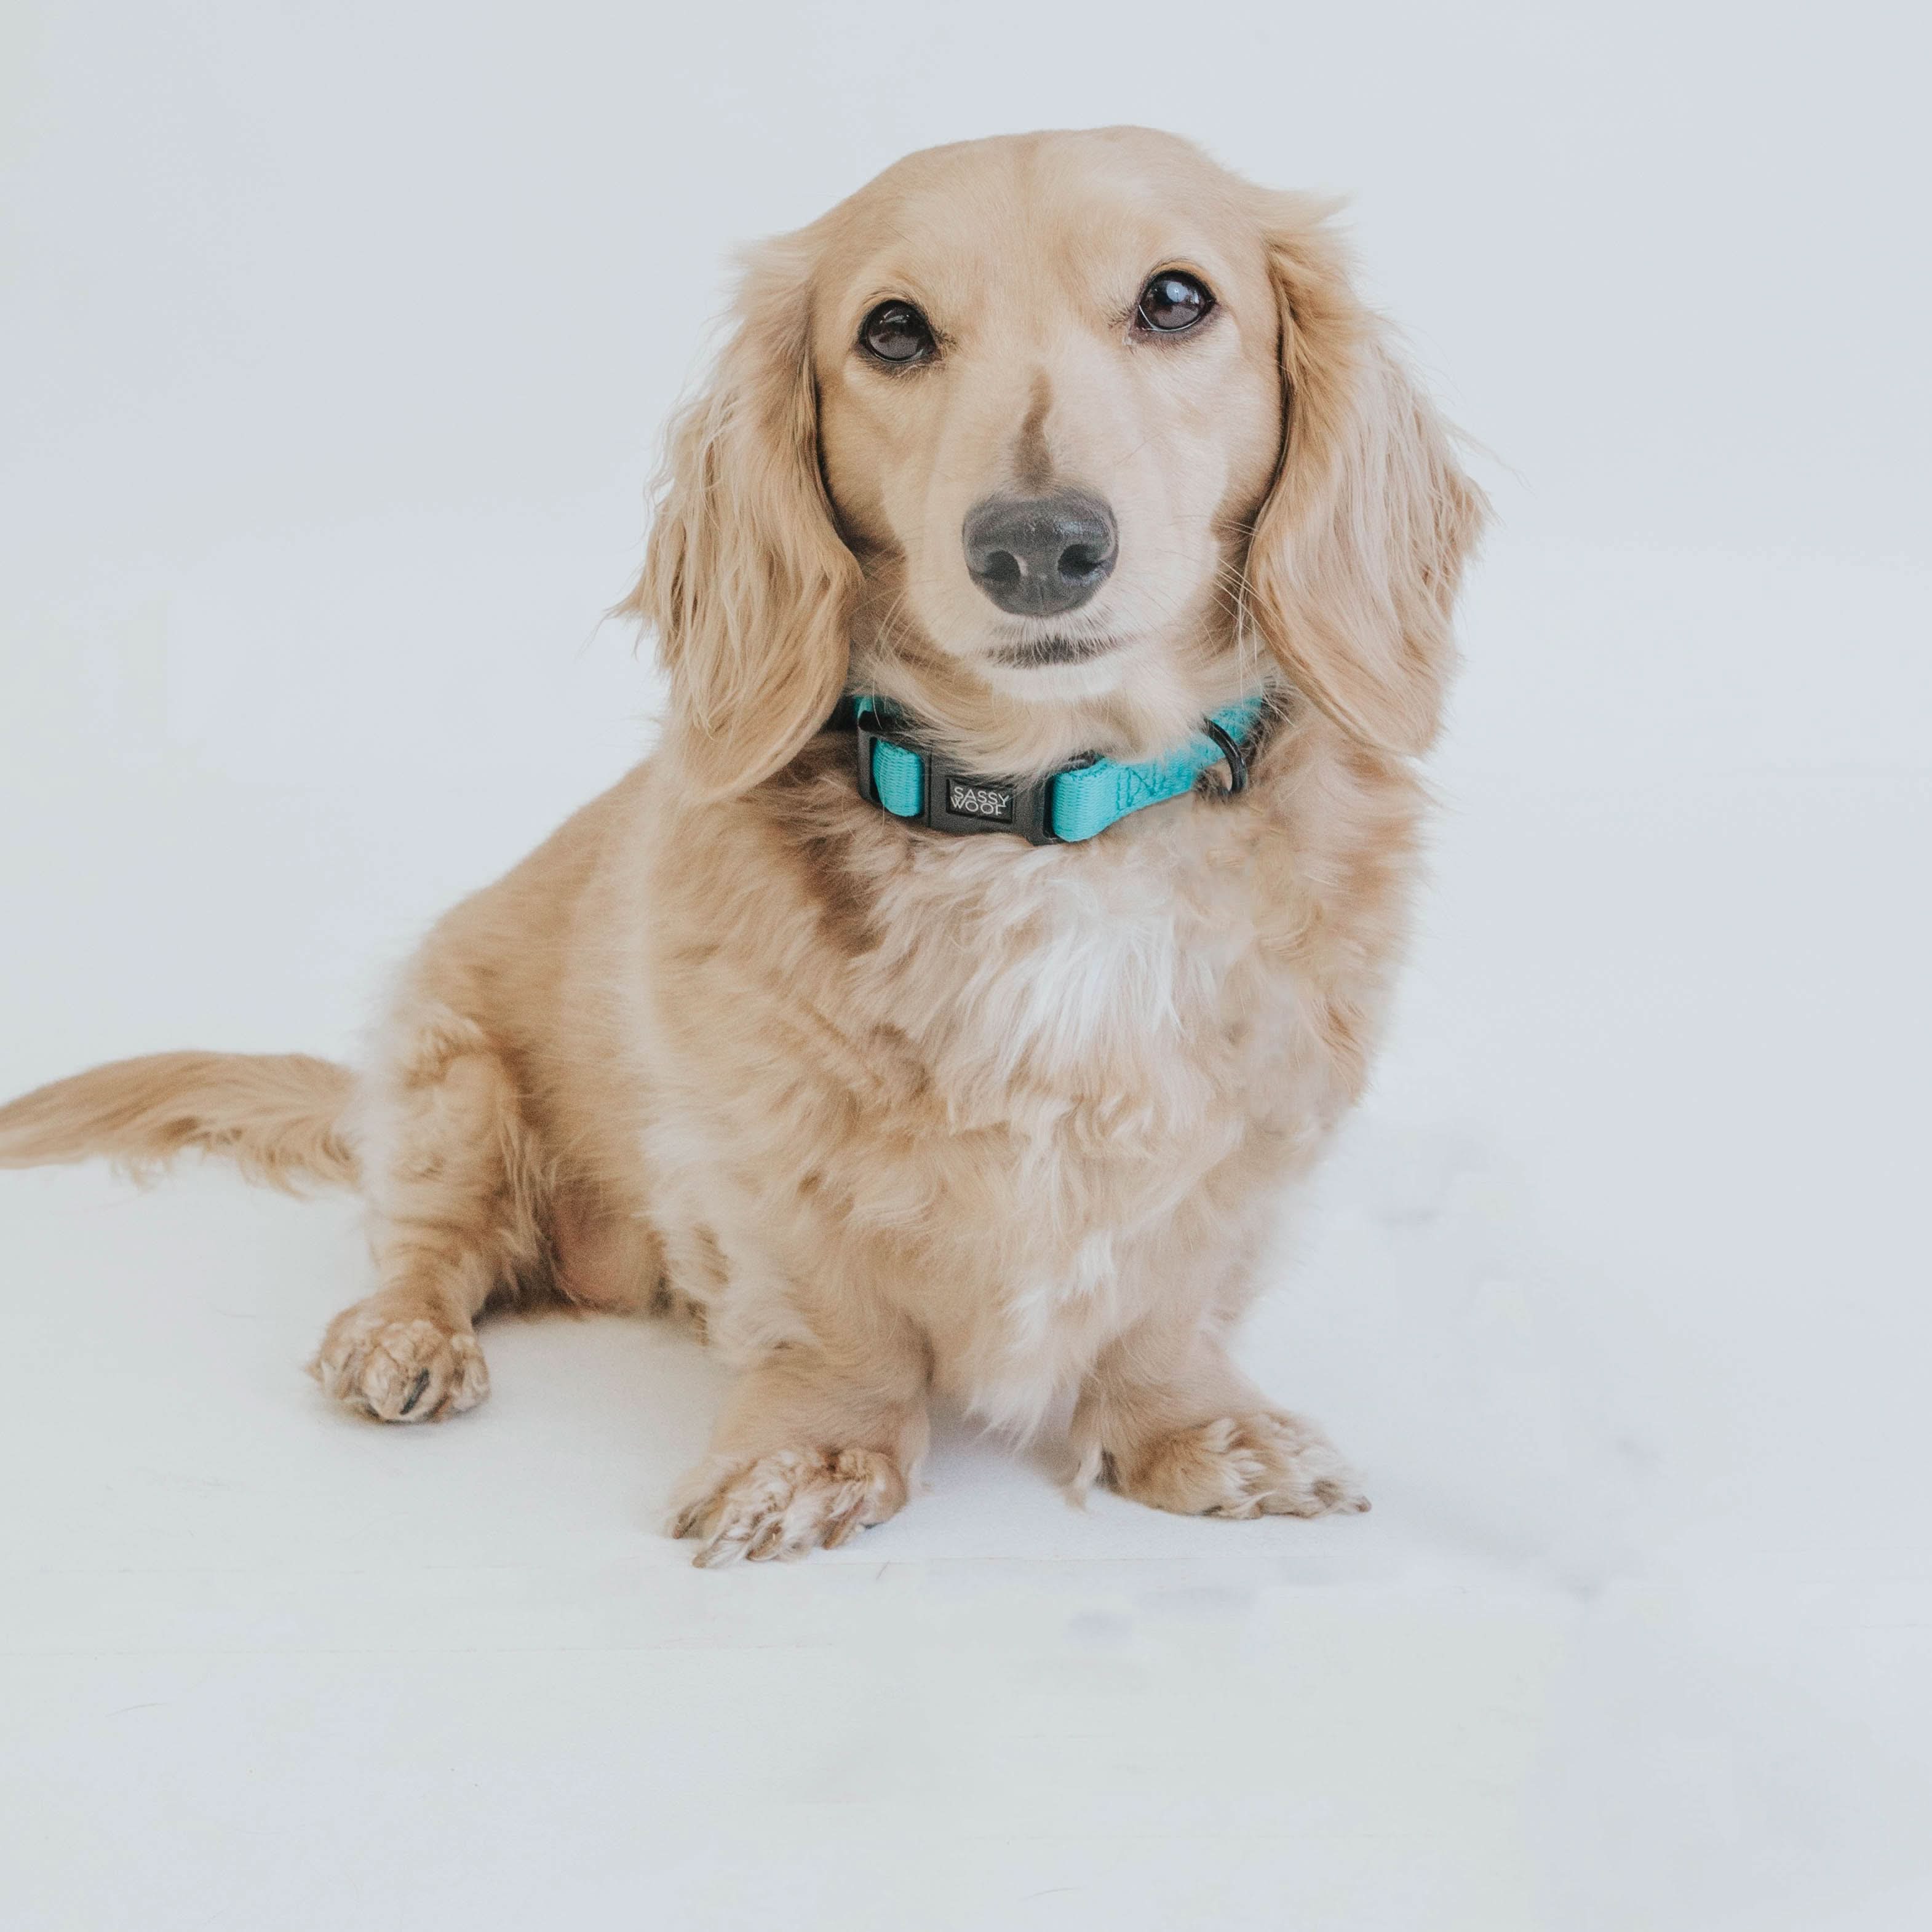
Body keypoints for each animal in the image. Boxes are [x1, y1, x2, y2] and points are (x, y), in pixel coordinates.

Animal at [0, 128, 1485, 1565]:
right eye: (892, 331)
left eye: (1176, 300)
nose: (1036, 547)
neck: (1049, 811)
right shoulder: (758, 1141)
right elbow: (831, 1314)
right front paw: (811, 1455)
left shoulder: (1245, 1145)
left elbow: (1167, 1305)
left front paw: (1192, 1427)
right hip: (451, 1078)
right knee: (433, 1241)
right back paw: (401, 1334)